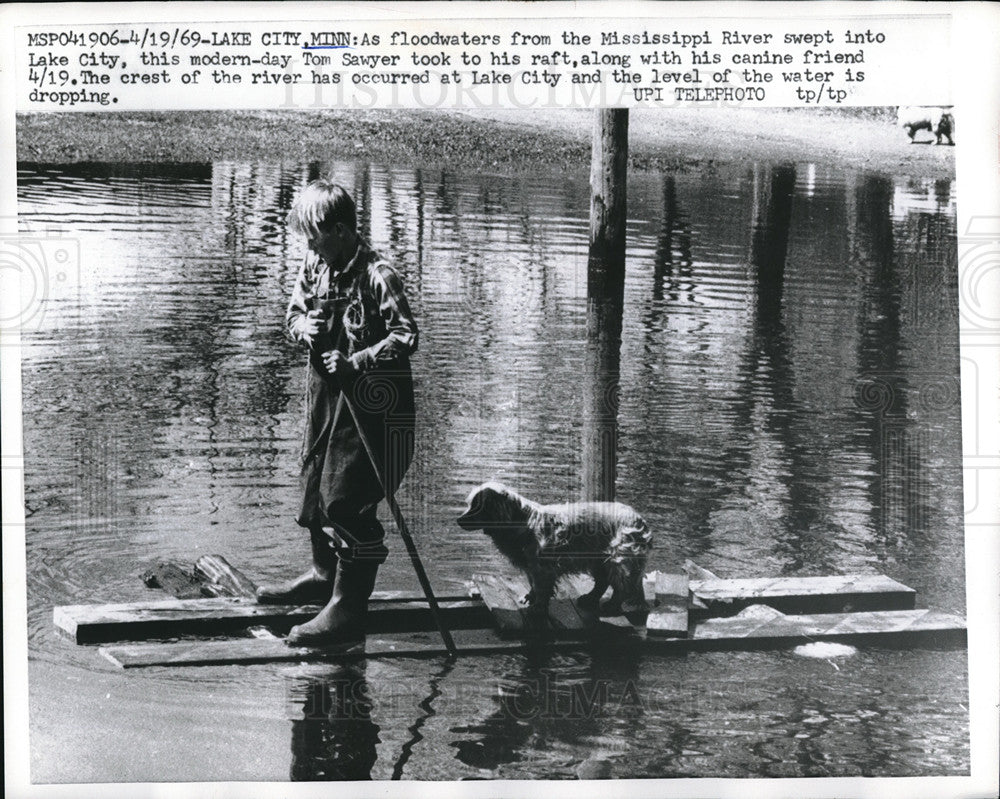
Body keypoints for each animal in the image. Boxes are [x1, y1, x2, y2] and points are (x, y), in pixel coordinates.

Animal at [458, 482, 652, 620]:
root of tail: (639, 518)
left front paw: (537, 608)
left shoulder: (543, 567)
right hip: (599, 558)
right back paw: (590, 598)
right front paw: (530, 597)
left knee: (622, 587)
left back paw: (611, 606)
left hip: (617, 558)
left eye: (477, 506)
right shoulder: (531, 565)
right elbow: (532, 583)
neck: (521, 522)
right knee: (602, 582)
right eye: (469, 504)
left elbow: (541, 588)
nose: (458, 520)